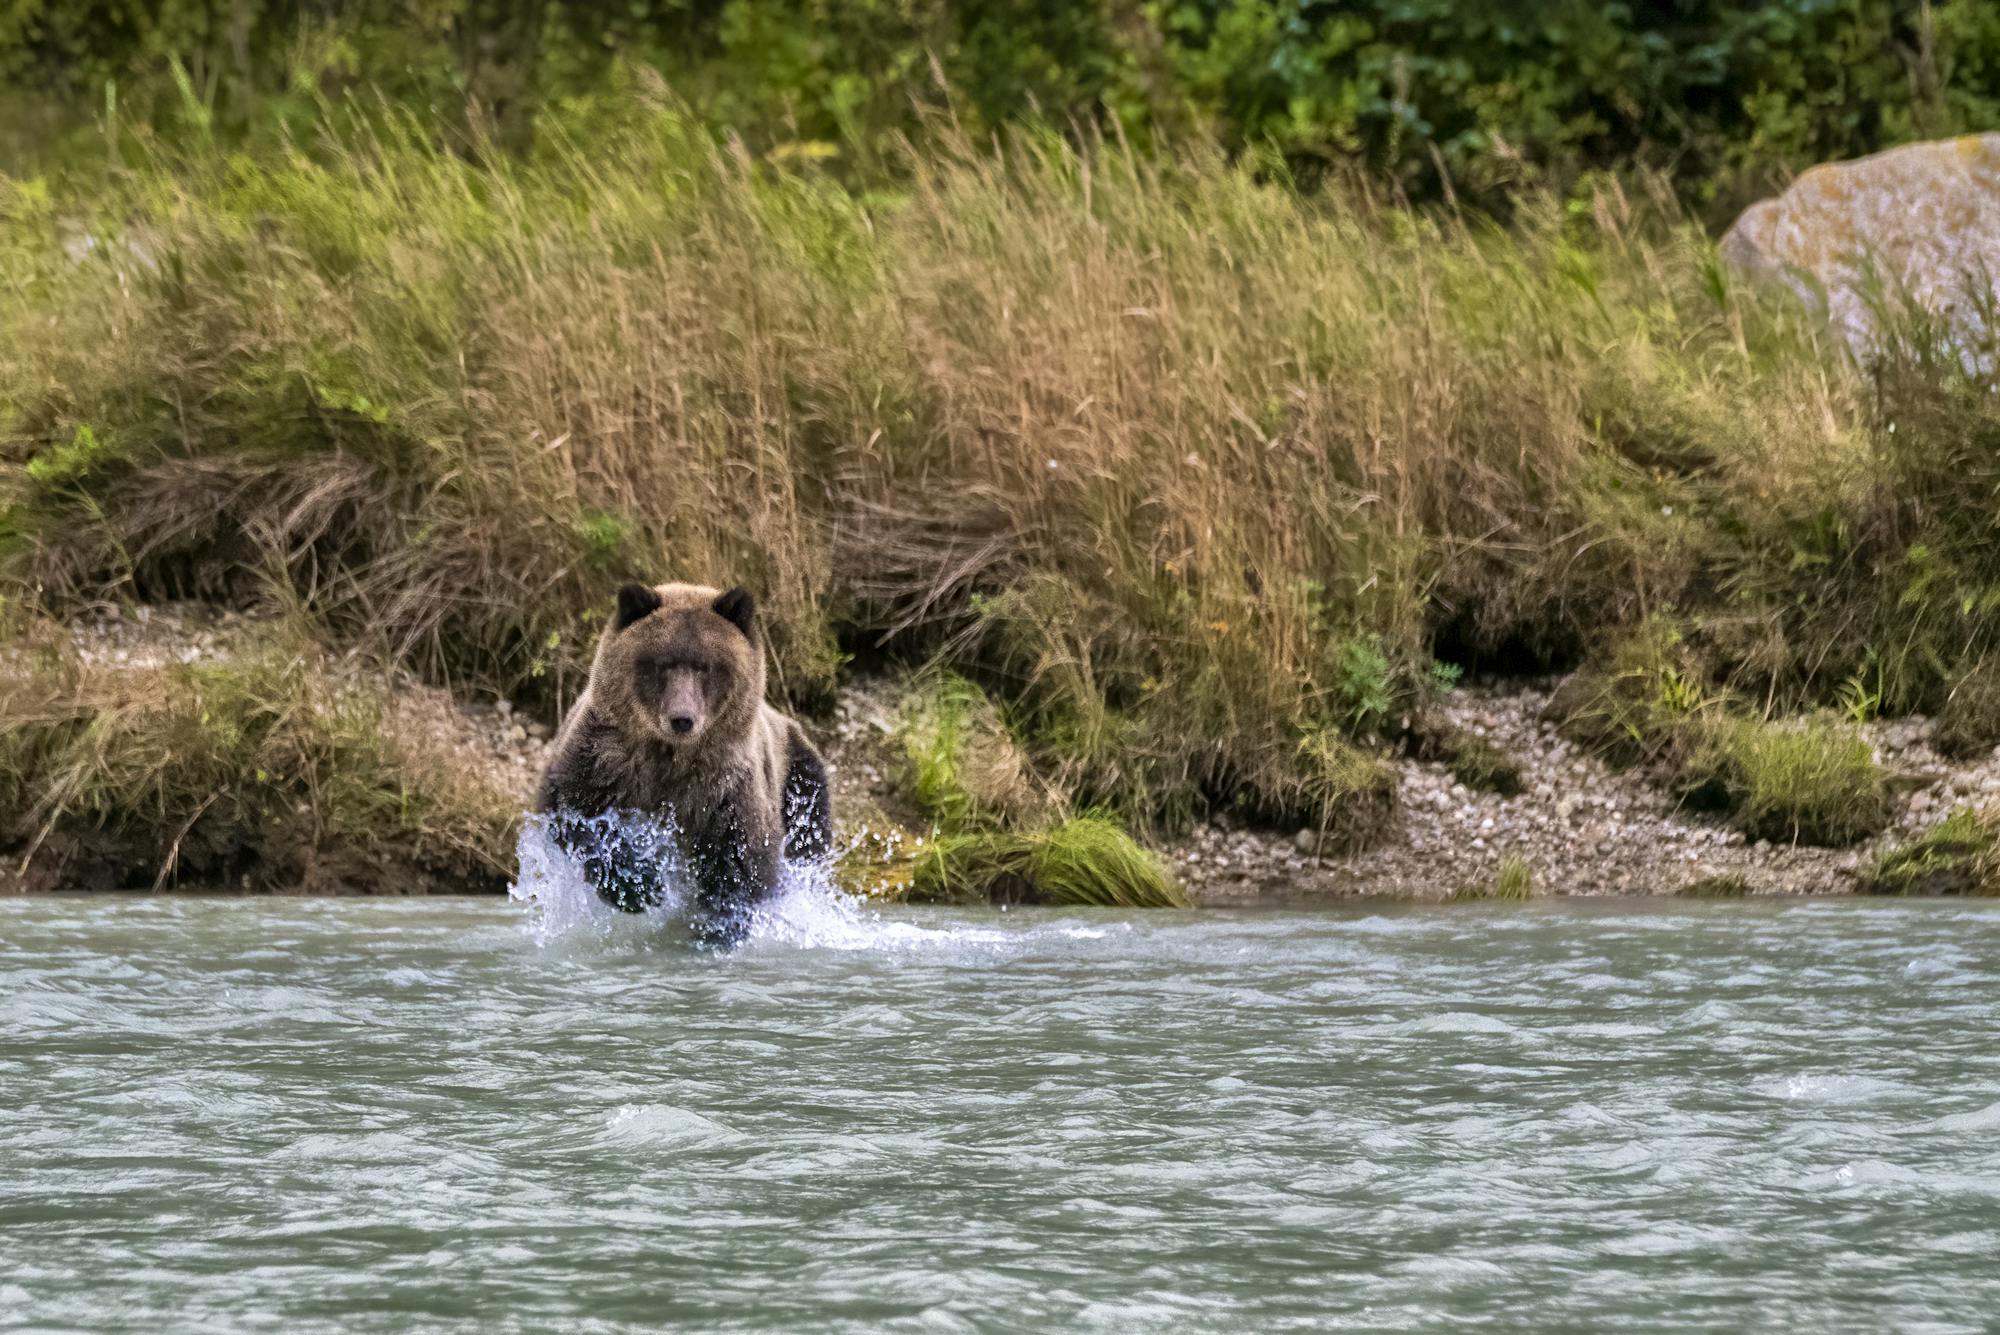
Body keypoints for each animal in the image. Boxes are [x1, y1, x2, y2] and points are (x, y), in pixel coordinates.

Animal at [532, 583, 828, 947]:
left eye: (706, 666)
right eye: (663, 663)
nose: (682, 719)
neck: (671, 757)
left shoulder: (726, 788)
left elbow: (742, 866)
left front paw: (718, 928)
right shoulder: (602, 760)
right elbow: (573, 814)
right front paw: (642, 887)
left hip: (801, 784)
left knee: (808, 843)